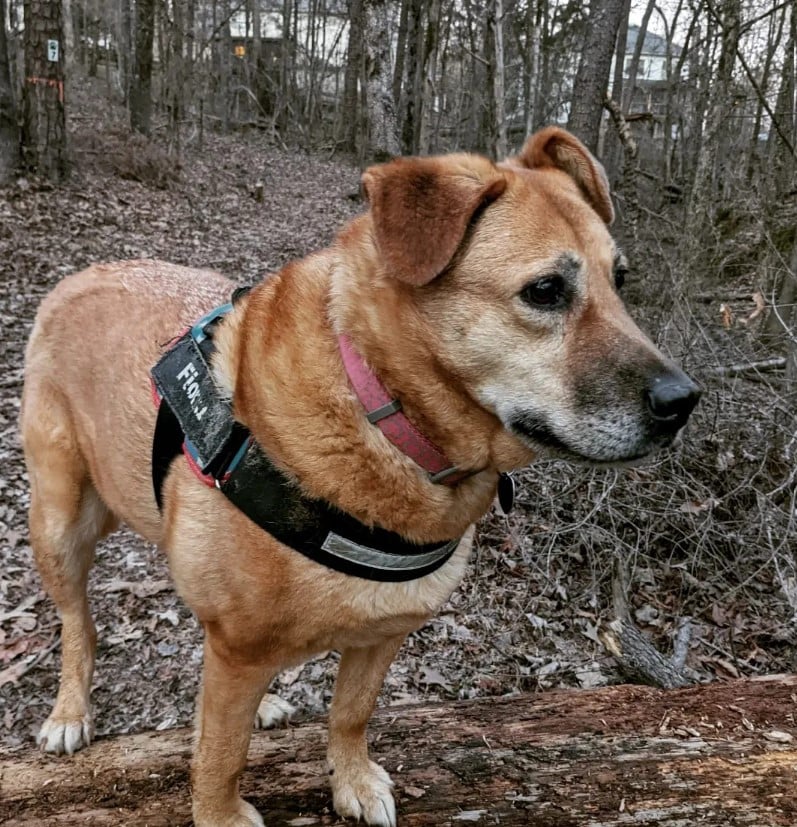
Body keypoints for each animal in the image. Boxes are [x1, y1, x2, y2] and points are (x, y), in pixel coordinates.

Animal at [21, 128, 696, 827]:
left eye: (620, 281)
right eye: (544, 291)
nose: (684, 402)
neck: (381, 412)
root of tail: (81, 275)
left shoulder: (382, 630)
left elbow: (350, 714)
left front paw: (351, 781)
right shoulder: (240, 647)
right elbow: (220, 754)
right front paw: (220, 811)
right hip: (59, 522)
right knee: (79, 624)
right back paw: (70, 710)